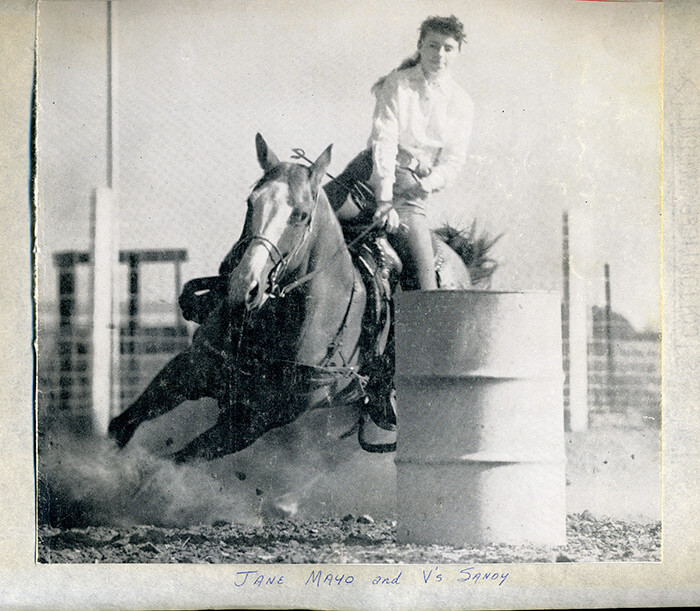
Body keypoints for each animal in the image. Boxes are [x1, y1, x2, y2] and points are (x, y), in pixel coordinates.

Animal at [108, 133, 474, 463]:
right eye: (250, 202)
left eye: (300, 215)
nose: (245, 285)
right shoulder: (192, 367)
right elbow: (121, 426)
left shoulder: (255, 422)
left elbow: (171, 463)